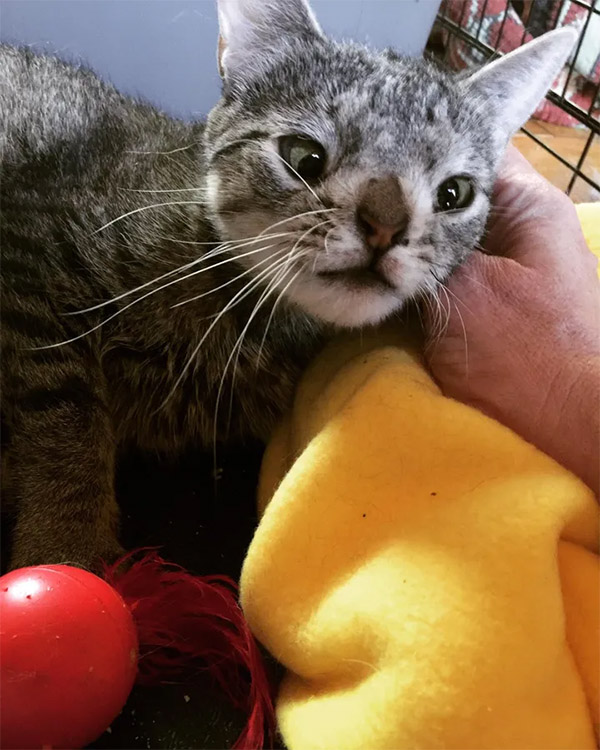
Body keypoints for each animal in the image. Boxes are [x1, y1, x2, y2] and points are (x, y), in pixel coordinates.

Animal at [0, 0, 576, 572]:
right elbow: (65, 416)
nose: (385, 226)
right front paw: (65, 549)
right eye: (304, 157)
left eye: (454, 193)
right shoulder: (31, 250)